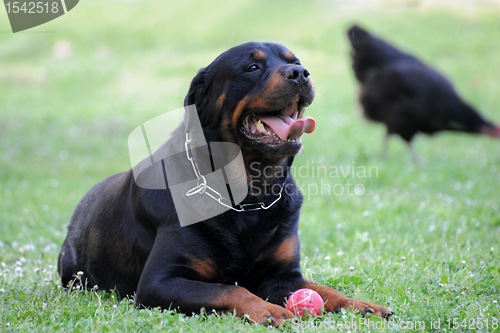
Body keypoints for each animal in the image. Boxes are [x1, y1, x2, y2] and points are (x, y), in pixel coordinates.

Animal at [58, 40, 392, 324]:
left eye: (294, 62)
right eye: (252, 67)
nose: (300, 73)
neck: (250, 197)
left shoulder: (283, 275)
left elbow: (325, 289)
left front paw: (360, 304)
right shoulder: (158, 282)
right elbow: (230, 288)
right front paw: (270, 310)